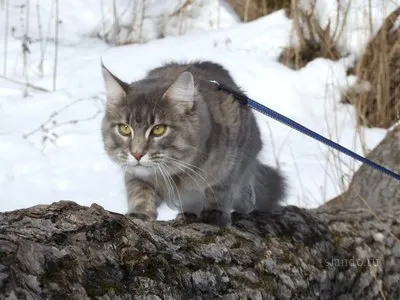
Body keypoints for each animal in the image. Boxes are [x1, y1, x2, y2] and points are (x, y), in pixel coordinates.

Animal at [101, 61, 286, 227]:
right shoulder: (136, 174)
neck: (174, 174)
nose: (137, 154)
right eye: (124, 129)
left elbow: (219, 190)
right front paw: (140, 214)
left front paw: (214, 214)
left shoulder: (232, 157)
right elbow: (140, 192)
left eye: (158, 130)